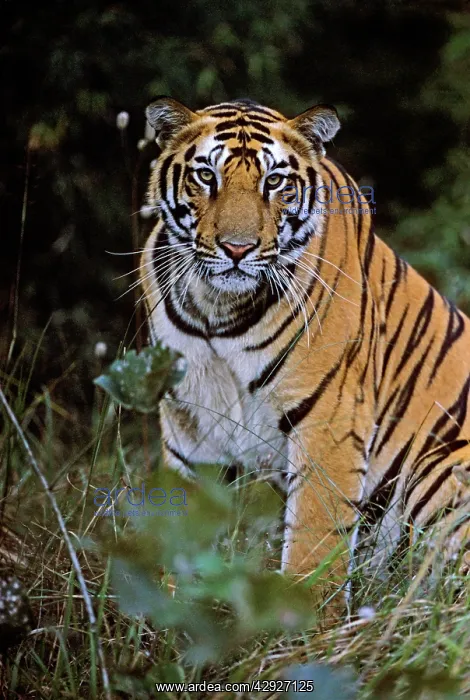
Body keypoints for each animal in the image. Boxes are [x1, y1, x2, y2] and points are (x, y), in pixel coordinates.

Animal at [140, 96, 470, 605]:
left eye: (274, 182)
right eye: (206, 176)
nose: (237, 249)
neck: (218, 310)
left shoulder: (331, 420)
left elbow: (314, 543)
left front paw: (300, 620)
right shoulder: (189, 421)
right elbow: (180, 529)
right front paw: (164, 610)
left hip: (438, 466)